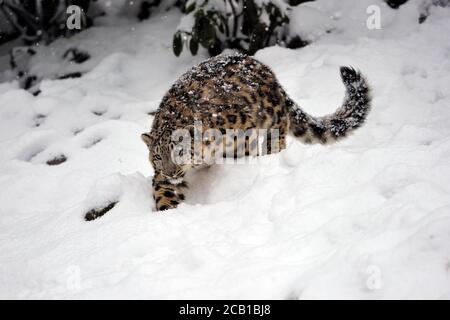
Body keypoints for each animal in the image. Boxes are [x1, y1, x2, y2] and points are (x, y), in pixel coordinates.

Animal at [142, 53, 370, 211]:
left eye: (180, 151)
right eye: (158, 156)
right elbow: (164, 192)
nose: (171, 172)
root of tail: (263, 67)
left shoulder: (241, 133)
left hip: (274, 120)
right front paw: (167, 210)